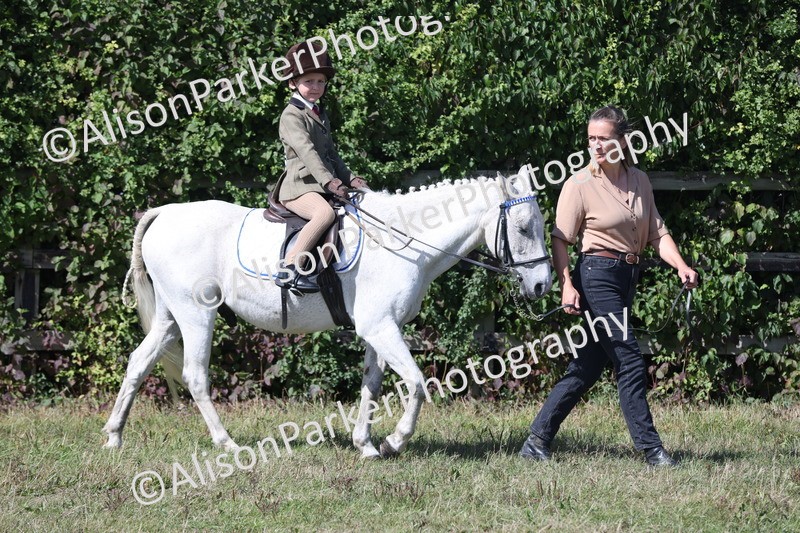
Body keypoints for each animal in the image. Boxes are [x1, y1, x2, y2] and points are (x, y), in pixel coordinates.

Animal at [103, 166, 552, 458]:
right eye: (524, 227)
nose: (542, 285)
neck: (405, 241)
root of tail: (165, 212)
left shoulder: (378, 329)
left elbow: (371, 385)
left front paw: (366, 445)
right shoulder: (382, 327)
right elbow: (417, 383)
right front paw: (394, 442)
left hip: (170, 318)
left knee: (138, 362)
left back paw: (113, 436)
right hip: (197, 316)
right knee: (195, 375)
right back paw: (228, 444)